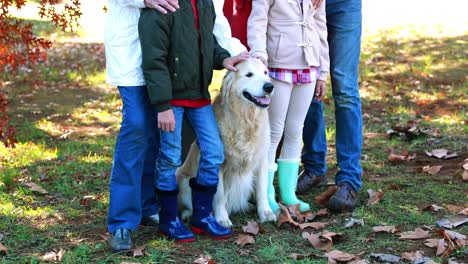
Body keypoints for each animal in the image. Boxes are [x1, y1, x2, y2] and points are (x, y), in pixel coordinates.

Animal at [177, 57, 276, 227]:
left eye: (265, 73)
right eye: (249, 74)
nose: (269, 86)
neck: (246, 120)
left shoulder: (261, 159)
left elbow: (262, 189)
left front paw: (265, 212)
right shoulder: (218, 165)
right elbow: (220, 195)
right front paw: (222, 218)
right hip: (183, 179)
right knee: (186, 204)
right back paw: (189, 215)